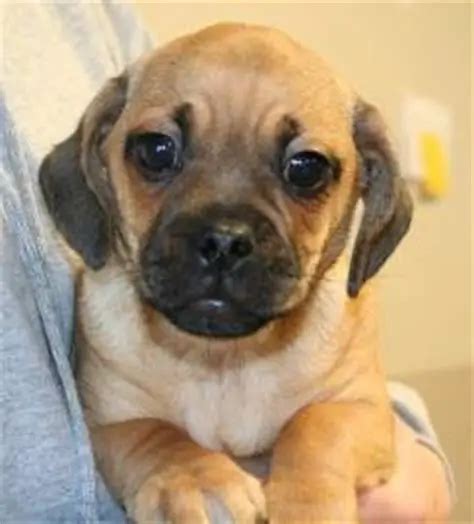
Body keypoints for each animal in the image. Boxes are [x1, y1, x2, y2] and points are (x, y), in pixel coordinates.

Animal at [39, 23, 412, 524]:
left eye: (306, 168)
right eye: (156, 150)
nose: (223, 241)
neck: (225, 362)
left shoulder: (363, 407)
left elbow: (314, 424)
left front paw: (306, 502)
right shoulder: (107, 422)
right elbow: (156, 433)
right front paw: (196, 478)